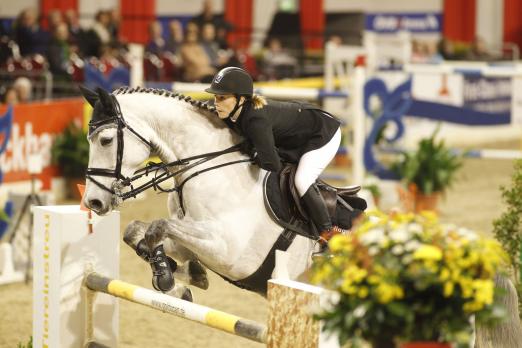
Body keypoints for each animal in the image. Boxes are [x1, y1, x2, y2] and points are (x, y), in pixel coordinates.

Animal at [80, 85, 362, 300]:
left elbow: (157, 227)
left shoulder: (227, 251)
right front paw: (182, 278)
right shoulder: (190, 240)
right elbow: (137, 231)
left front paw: (169, 278)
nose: (92, 202)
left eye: (105, 140)